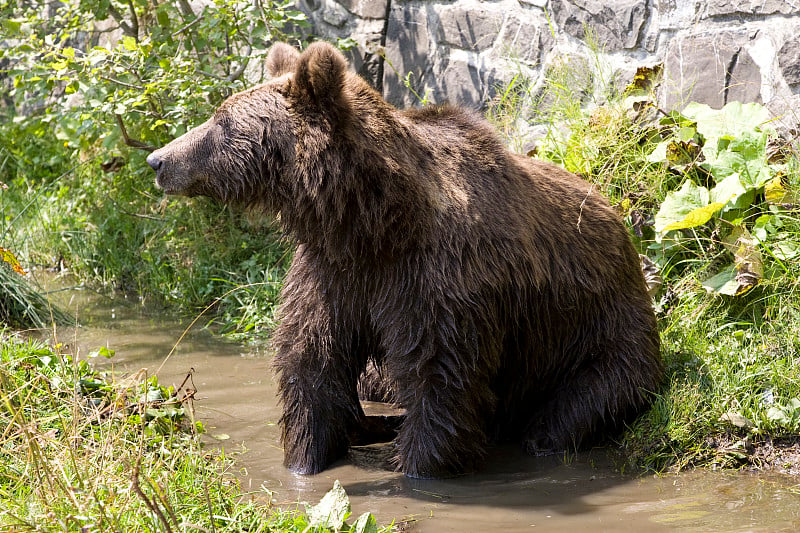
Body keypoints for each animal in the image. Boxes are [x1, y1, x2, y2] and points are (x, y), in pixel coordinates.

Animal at [148, 39, 664, 476]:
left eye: (222, 121)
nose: (158, 159)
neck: (370, 221)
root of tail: (620, 223)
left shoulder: (438, 281)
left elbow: (438, 377)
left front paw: (420, 469)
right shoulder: (334, 273)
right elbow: (312, 361)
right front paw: (305, 461)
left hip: (600, 329)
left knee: (583, 401)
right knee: (374, 381)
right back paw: (373, 423)